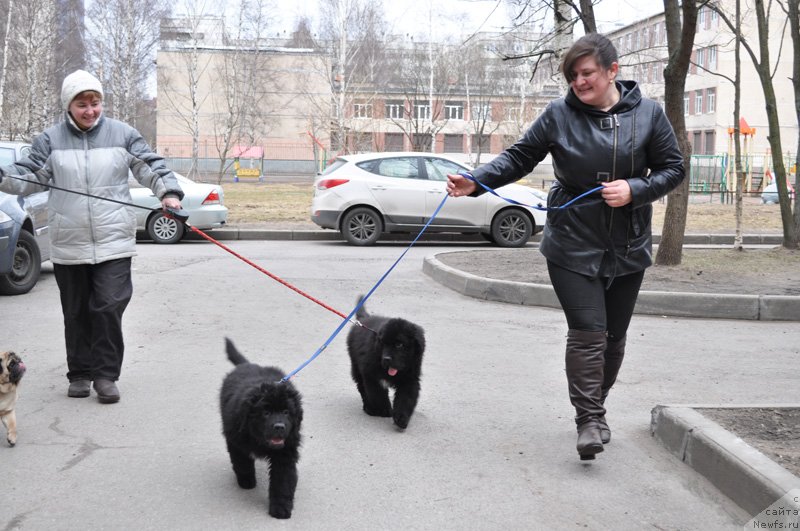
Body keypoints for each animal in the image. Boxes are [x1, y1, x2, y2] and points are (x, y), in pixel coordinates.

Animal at [219, 340, 304, 520]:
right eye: (266, 413)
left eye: (286, 412)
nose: (279, 427)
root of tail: (247, 364)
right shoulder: (236, 441)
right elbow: (242, 462)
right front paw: (247, 481)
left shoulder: (286, 452)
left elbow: (283, 481)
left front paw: (281, 509)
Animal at [346, 298, 428, 430]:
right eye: (383, 343)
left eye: (399, 344)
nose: (386, 359)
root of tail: (364, 320)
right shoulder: (370, 374)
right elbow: (378, 394)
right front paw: (385, 410)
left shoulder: (410, 378)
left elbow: (405, 398)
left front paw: (401, 418)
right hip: (356, 366)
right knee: (361, 387)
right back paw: (369, 408)